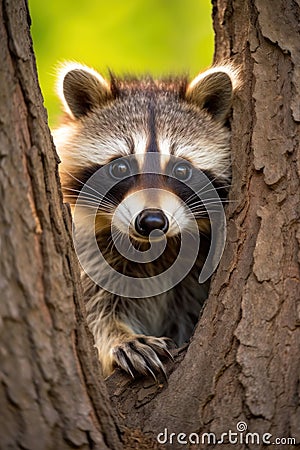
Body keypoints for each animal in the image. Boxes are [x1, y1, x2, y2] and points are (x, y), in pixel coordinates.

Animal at [52, 62, 238, 380]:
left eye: (181, 170)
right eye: (120, 167)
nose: (152, 221)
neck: (152, 249)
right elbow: (94, 309)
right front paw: (120, 337)